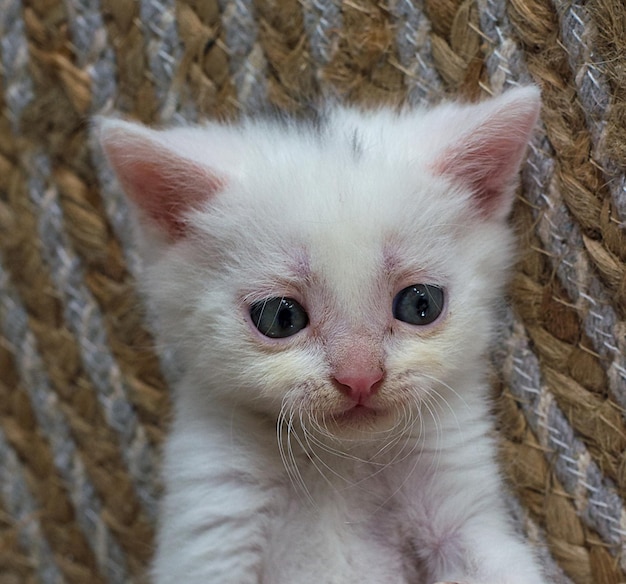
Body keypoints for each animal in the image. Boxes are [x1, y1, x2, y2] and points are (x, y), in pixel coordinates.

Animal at [97, 88, 544, 584]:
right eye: (280, 317)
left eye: (420, 304)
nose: (360, 378)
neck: (341, 460)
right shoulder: (213, 520)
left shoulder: (459, 506)